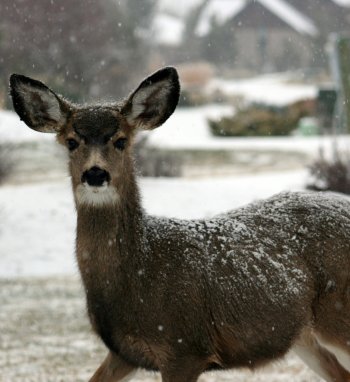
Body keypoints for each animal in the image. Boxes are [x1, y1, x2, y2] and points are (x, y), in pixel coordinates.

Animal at [8, 66, 350, 382]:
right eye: (71, 142)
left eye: (120, 141)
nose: (95, 173)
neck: (139, 270)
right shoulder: (125, 353)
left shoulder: (185, 347)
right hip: (304, 336)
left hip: (337, 315)